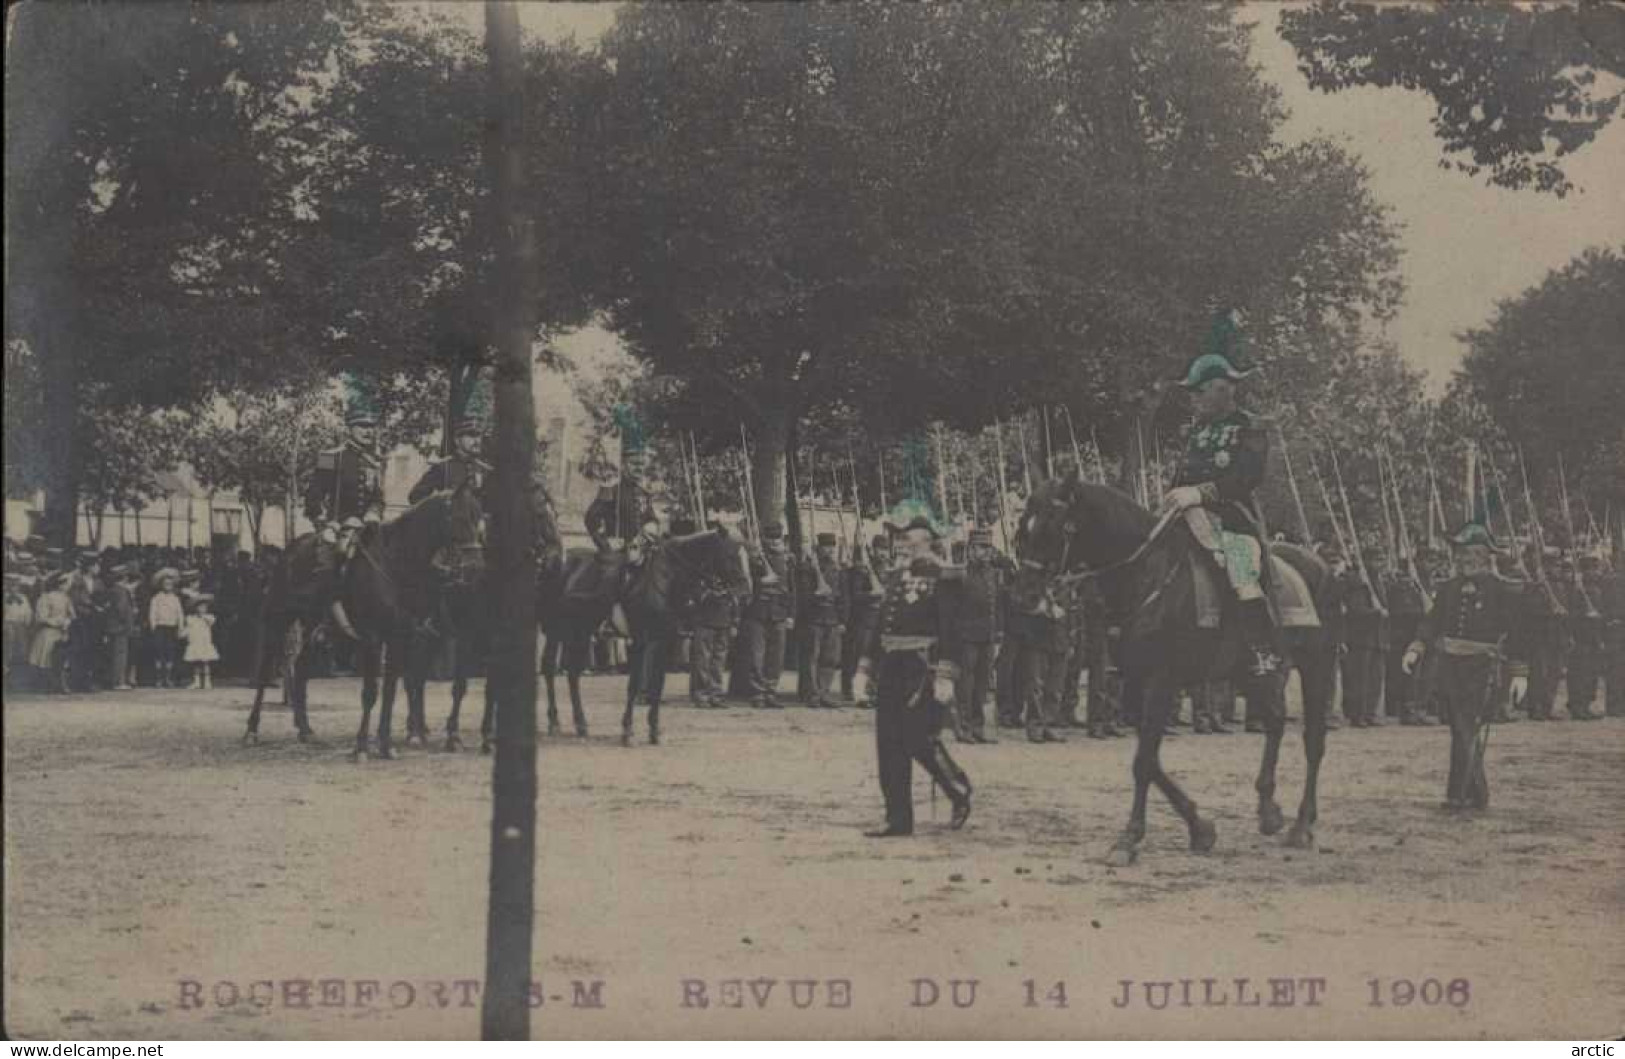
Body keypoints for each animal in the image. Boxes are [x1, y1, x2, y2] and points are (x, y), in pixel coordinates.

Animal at [240, 484, 481, 756]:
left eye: (479, 518)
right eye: (459, 518)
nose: (475, 567)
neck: (394, 563)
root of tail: (290, 550)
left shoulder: (400, 637)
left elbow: (391, 690)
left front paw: (385, 746)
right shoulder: (373, 639)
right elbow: (371, 692)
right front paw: (362, 747)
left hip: (314, 624)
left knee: (301, 668)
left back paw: (305, 729)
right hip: (279, 620)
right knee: (264, 673)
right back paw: (251, 731)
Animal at [542, 526, 744, 743]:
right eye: (730, 555)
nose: (744, 591)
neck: (665, 578)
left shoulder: (663, 641)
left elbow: (657, 685)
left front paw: (654, 730)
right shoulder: (639, 640)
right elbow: (634, 684)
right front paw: (628, 730)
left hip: (580, 632)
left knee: (572, 673)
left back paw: (580, 724)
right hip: (556, 631)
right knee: (549, 669)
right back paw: (554, 722)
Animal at [1020, 474, 1339, 864]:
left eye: (1054, 526)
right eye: (1025, 525)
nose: (1025, 595)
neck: (1147, 574)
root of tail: (1320, 566)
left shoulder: (1161, 680)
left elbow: (1144, 762)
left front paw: (1129, 838)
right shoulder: (1136, 683)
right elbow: (1150, 759)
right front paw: (1200, 827)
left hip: (1316, 666)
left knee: (1313, 741)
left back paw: (1302, 825)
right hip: (1253, 672)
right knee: (1276, 721)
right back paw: (1269, 811)